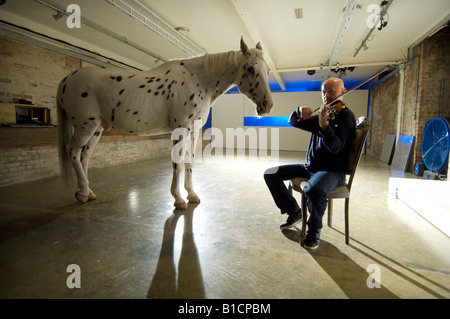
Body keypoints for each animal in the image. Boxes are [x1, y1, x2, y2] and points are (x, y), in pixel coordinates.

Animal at [57, 38, 272, 210]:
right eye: (251, 69)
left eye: (267, 70)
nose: (267, 105)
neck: (198, 79)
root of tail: (67, 79)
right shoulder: (181, 128)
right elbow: (177, 163)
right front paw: (178, 199)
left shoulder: (193, 130)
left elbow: (189, 161)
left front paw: (191, 195)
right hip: (86, 126)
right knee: (73, 151)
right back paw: (82, 193)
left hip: (97, 129)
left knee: (85, 155)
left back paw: (87, 191)